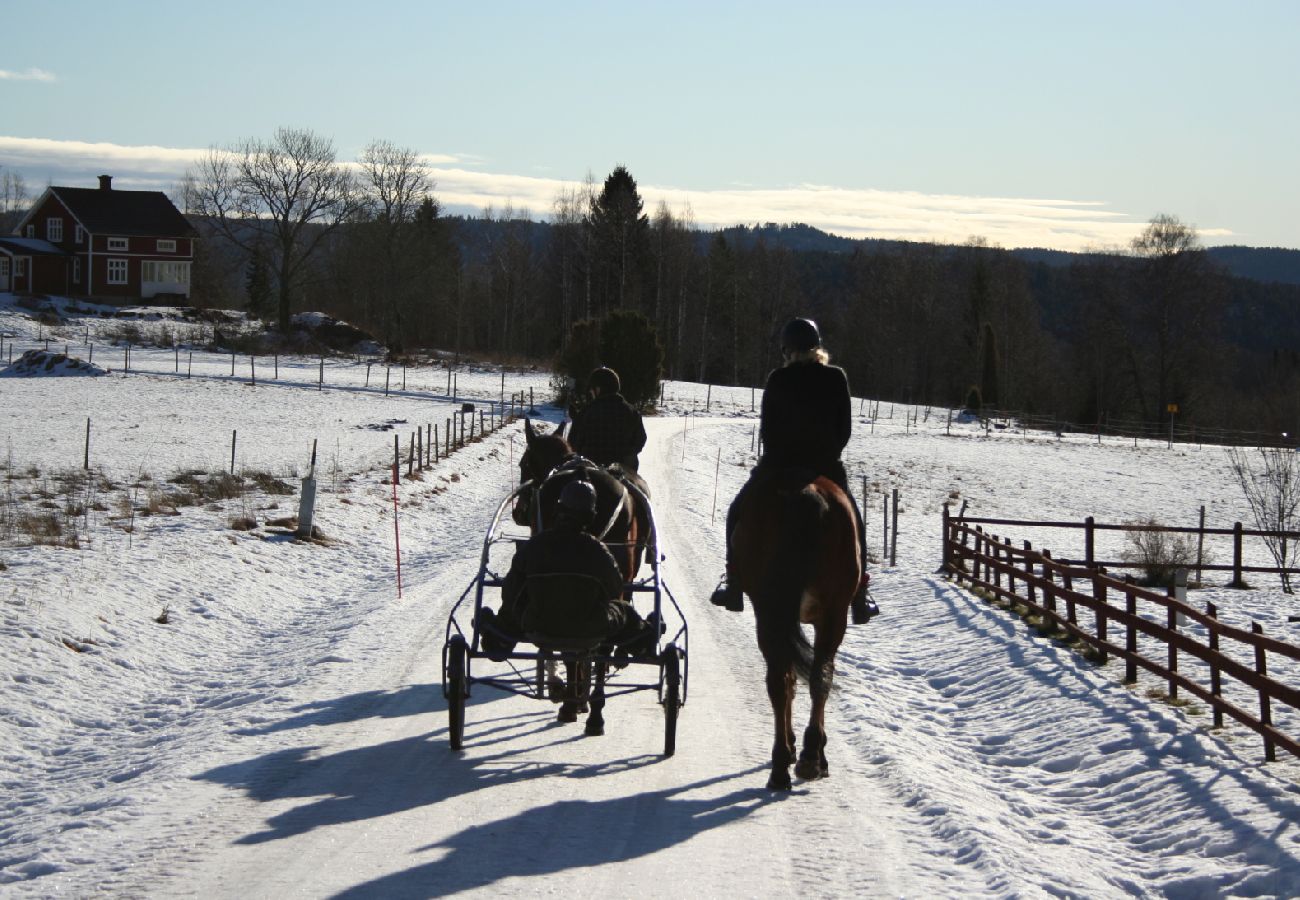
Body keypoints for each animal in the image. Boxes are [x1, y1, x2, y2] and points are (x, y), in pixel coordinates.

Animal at [733, 470, 863, 785]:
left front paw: (793, 746)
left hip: (771, 614)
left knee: (780, 683)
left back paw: (782, 765)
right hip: (832, 615)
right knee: (821, 677)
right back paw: (811, 758)